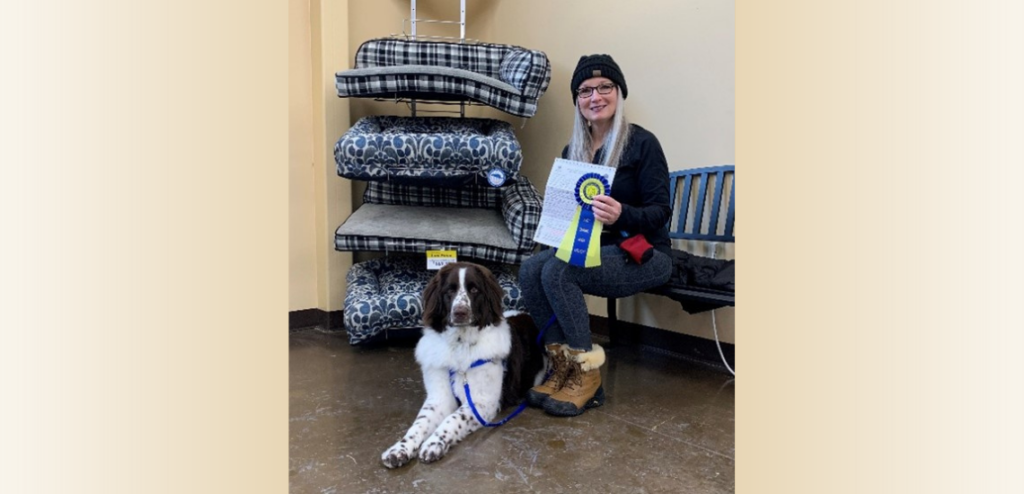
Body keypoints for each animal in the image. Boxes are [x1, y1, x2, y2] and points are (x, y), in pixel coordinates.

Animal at [382, 262, 544, 467]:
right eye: (450, 291)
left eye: (474, 290)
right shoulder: (439, 397)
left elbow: (453, 419)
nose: (460, 312)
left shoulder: (482, 402)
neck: (460, 345)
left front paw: (434, 443)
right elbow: (420, 423)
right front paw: (400, 448)